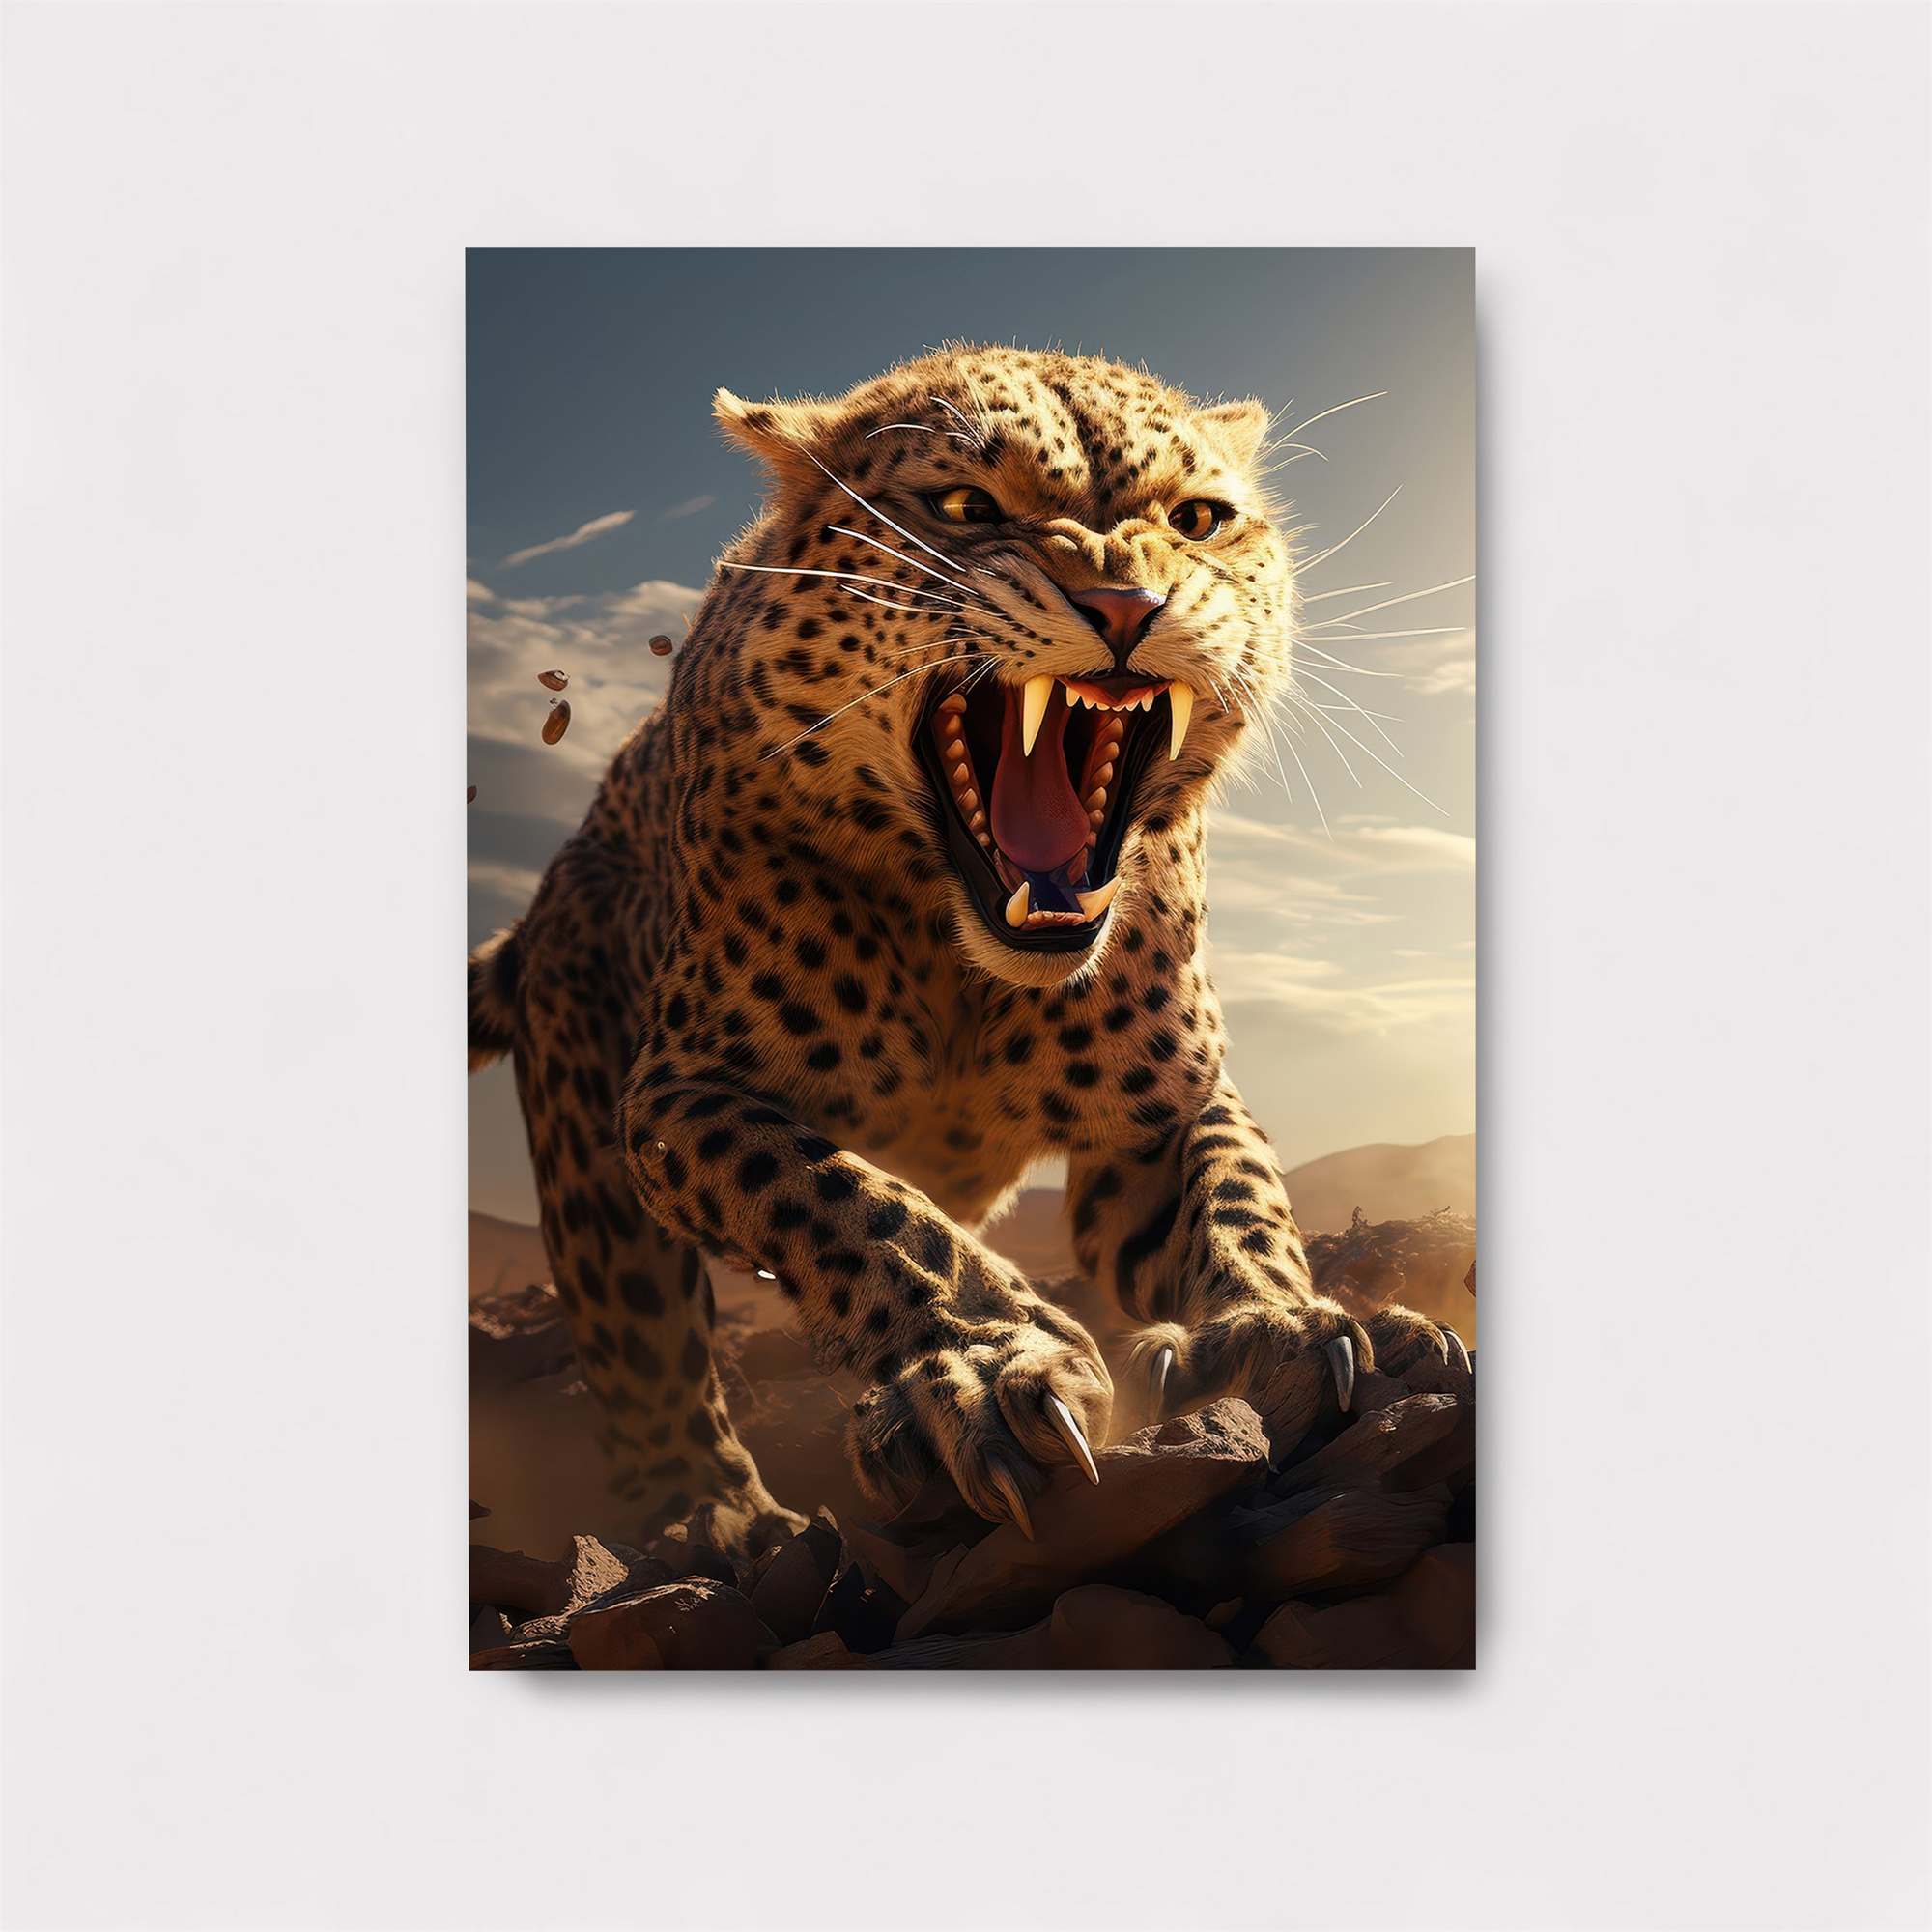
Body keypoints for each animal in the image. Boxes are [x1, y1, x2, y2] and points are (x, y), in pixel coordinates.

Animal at [467, 343, 1465, 1563]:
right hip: (589, 1134)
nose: (1124, 603)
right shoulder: (681, 1094)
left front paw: (1271, 1322)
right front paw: (991, 1371)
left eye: (1194, 518)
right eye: (962, 508)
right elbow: (852, 1205)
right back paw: (716, 1513)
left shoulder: (1164, 1103)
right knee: (642, 1343)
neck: (968, 967)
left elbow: (1237, 1196)